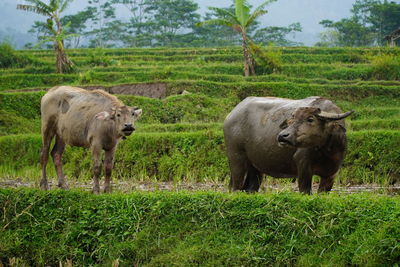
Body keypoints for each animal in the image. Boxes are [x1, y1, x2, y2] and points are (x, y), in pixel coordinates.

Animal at [225, 96, 354, 195]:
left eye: (310, 119)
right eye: (291, 120)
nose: (282, 136)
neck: (327, 150)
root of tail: (231, 115)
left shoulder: (331, 174)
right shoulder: (303, 166)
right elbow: (305, 191)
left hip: (254, 167)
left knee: (251, 188)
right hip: (236, 159)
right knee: (235, 186)